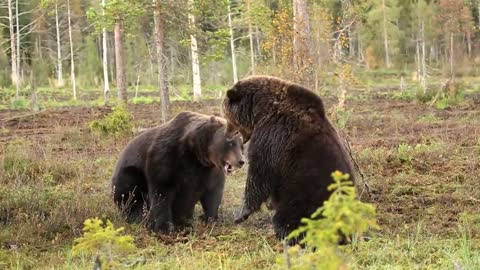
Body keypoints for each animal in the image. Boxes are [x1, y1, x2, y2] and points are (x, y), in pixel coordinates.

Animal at [111, 110, 244, 233]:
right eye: (230, 142)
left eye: (241, 145)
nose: (241, 161)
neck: (196, 154)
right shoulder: (167, 158)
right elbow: (162, 192)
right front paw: (165, 227)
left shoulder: (210, 171)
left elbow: (212, 193)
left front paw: (212, 219)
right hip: (129, 172)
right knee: (129, 192)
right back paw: (140, 216)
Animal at [223, 75, 354, 244]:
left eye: (226, 116)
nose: (226, 134)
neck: (260, 111)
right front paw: (267, 204)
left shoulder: (272, 137)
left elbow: (259, 172)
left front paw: (241, 214)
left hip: (305, 195)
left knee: (290, 219)